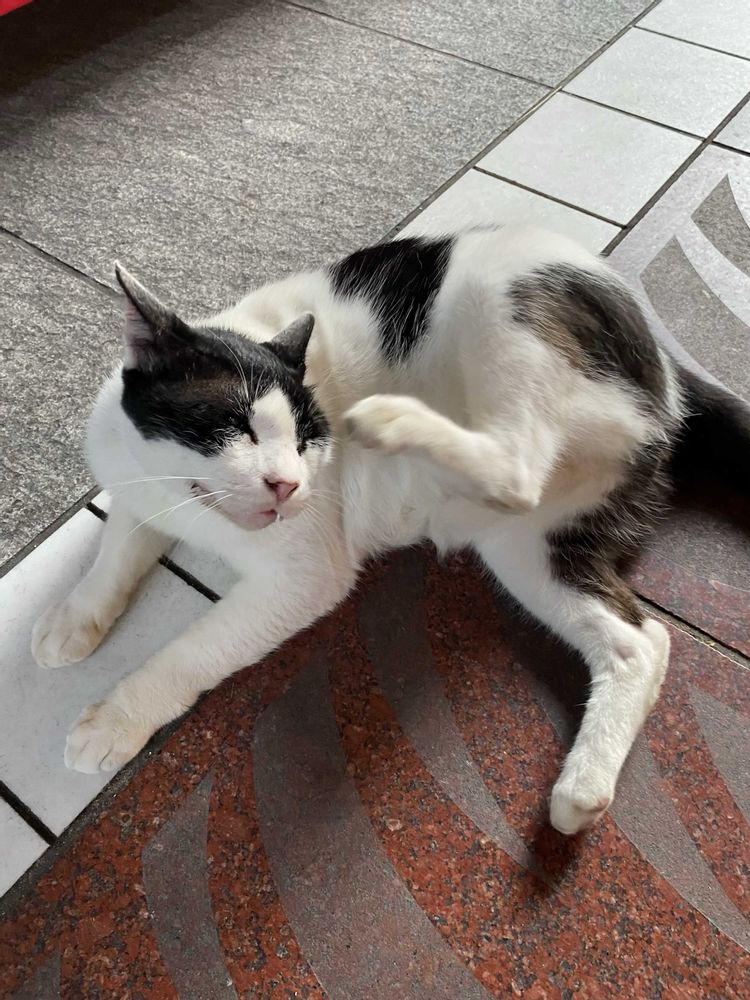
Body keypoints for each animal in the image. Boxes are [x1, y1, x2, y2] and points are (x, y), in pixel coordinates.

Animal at [31, 225, 750, 835]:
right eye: (236, 424)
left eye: (306, 438)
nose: (288, 483)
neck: (185, 502)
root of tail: (665, 362)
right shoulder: (134, 488)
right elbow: (116, 552)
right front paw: (74, 618)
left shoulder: (305, 574)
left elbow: (194, 647)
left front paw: (118, 716)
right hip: (530, 545)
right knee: (640, 642)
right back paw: (582, 791)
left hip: (499, 299)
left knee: (517, 464)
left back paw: (393, 420)